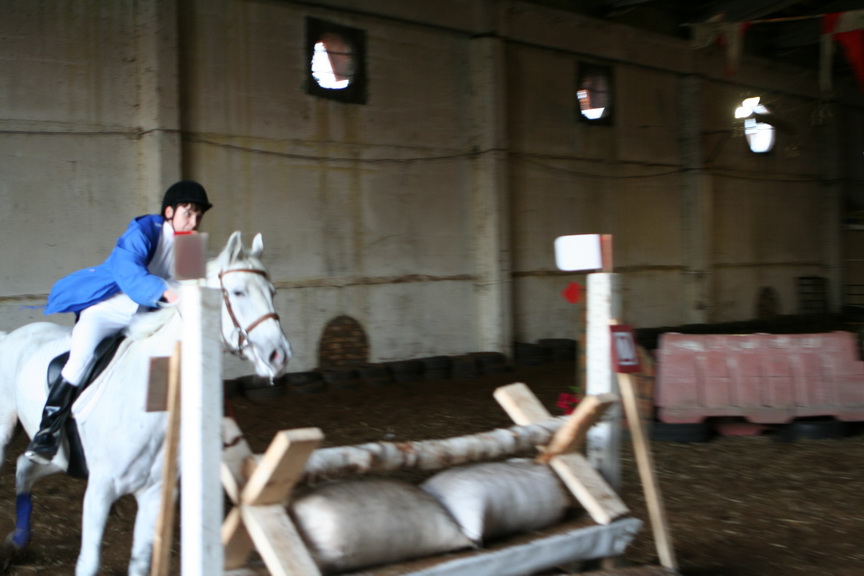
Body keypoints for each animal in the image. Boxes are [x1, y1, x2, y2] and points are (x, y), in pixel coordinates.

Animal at [0, 231, 291, 576]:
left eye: (272, 292)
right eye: (238, 291)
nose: (279, 355)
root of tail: (11, 335)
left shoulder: (153, 493)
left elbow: (140, 561)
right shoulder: (100, 488)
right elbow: (89, 562)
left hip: (60, 458)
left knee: (24, 468)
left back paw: (19, 540)